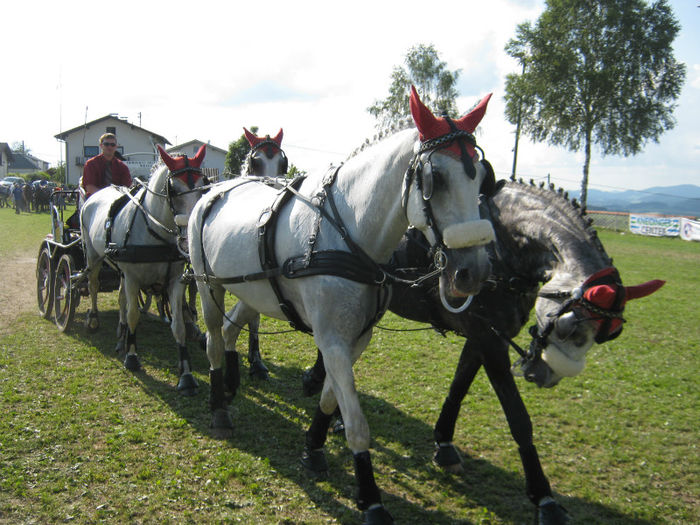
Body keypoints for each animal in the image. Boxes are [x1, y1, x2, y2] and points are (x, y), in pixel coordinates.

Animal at [80, 143, 208, 392]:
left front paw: (186, 375)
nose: (189, 238)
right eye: (173, 189)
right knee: (93, 285)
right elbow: (133, 315)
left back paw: (121, 335)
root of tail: (97, 195)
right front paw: (132, 357)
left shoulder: (174, 280)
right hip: (93, 256)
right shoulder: (132, 278)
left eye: (203, 185)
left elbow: (178, 325)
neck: (155, 231)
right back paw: (94, 318)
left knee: (121, 297)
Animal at [186, 88, 492, 520]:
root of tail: (215, 190)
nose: (474, 272)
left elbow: (332, 399)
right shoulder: (331, 340)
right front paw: (371, 496)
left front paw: (314, 448)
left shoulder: (355, 339)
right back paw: (218, 406)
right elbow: (357, 421)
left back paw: (231, 384)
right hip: (207, 284)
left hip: (254, 292)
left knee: (231, 328)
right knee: (214, 338)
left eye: (481, 176)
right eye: (437, 179)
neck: (347, 233)